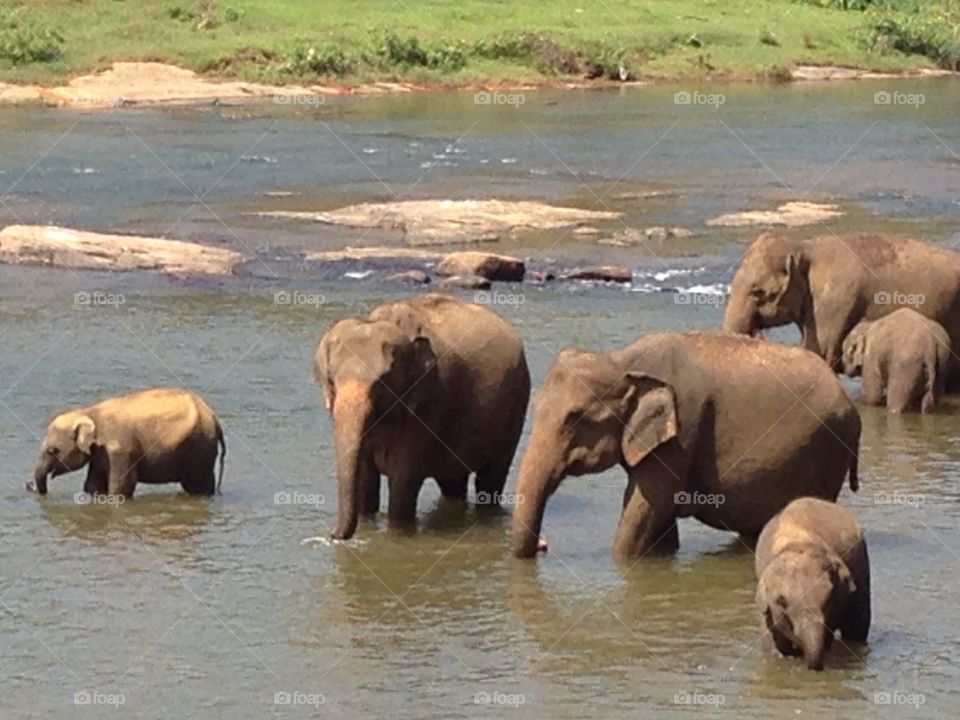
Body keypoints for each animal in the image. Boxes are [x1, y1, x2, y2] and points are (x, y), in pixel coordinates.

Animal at [28, 387, 225, 498]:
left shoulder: (121, 449)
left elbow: (121, 486)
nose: (29, 486)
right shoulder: (100, 452)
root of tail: (215, 418)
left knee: (198, 486)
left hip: (201, 446)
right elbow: (93, 485)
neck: (89, 412)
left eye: (53, 451)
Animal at [314, 293, 530, 540]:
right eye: (331, 381)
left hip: (515, 410)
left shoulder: (427, 405)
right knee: (452, 483)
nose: (332, 534)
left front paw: (397, 534)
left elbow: (402, 483)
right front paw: (368, 525)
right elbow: (366, 480)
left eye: (381, 385)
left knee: (491, 479)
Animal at [511, 331, 861, 560]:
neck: (622, 360)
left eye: (575, 418)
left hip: (827, 454)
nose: (544, 546)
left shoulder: (682, 434)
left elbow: (643, 510)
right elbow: (658, 520)